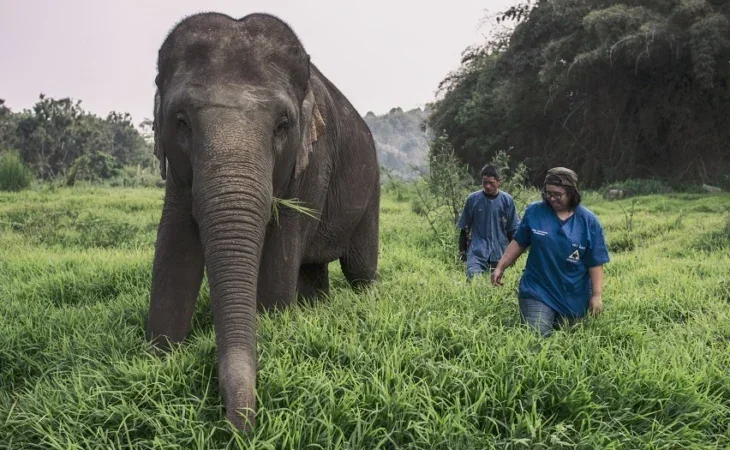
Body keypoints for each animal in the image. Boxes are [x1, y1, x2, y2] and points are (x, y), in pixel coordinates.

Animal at [145, 12, 378, 430]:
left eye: (282, 125)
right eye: (181, 122)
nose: (240, 430)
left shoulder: (314, 161)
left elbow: (280, 252)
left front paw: (274, 326)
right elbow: (174, 247)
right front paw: (160, 357)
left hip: (372, 188)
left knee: (360, 270)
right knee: (313, 271)